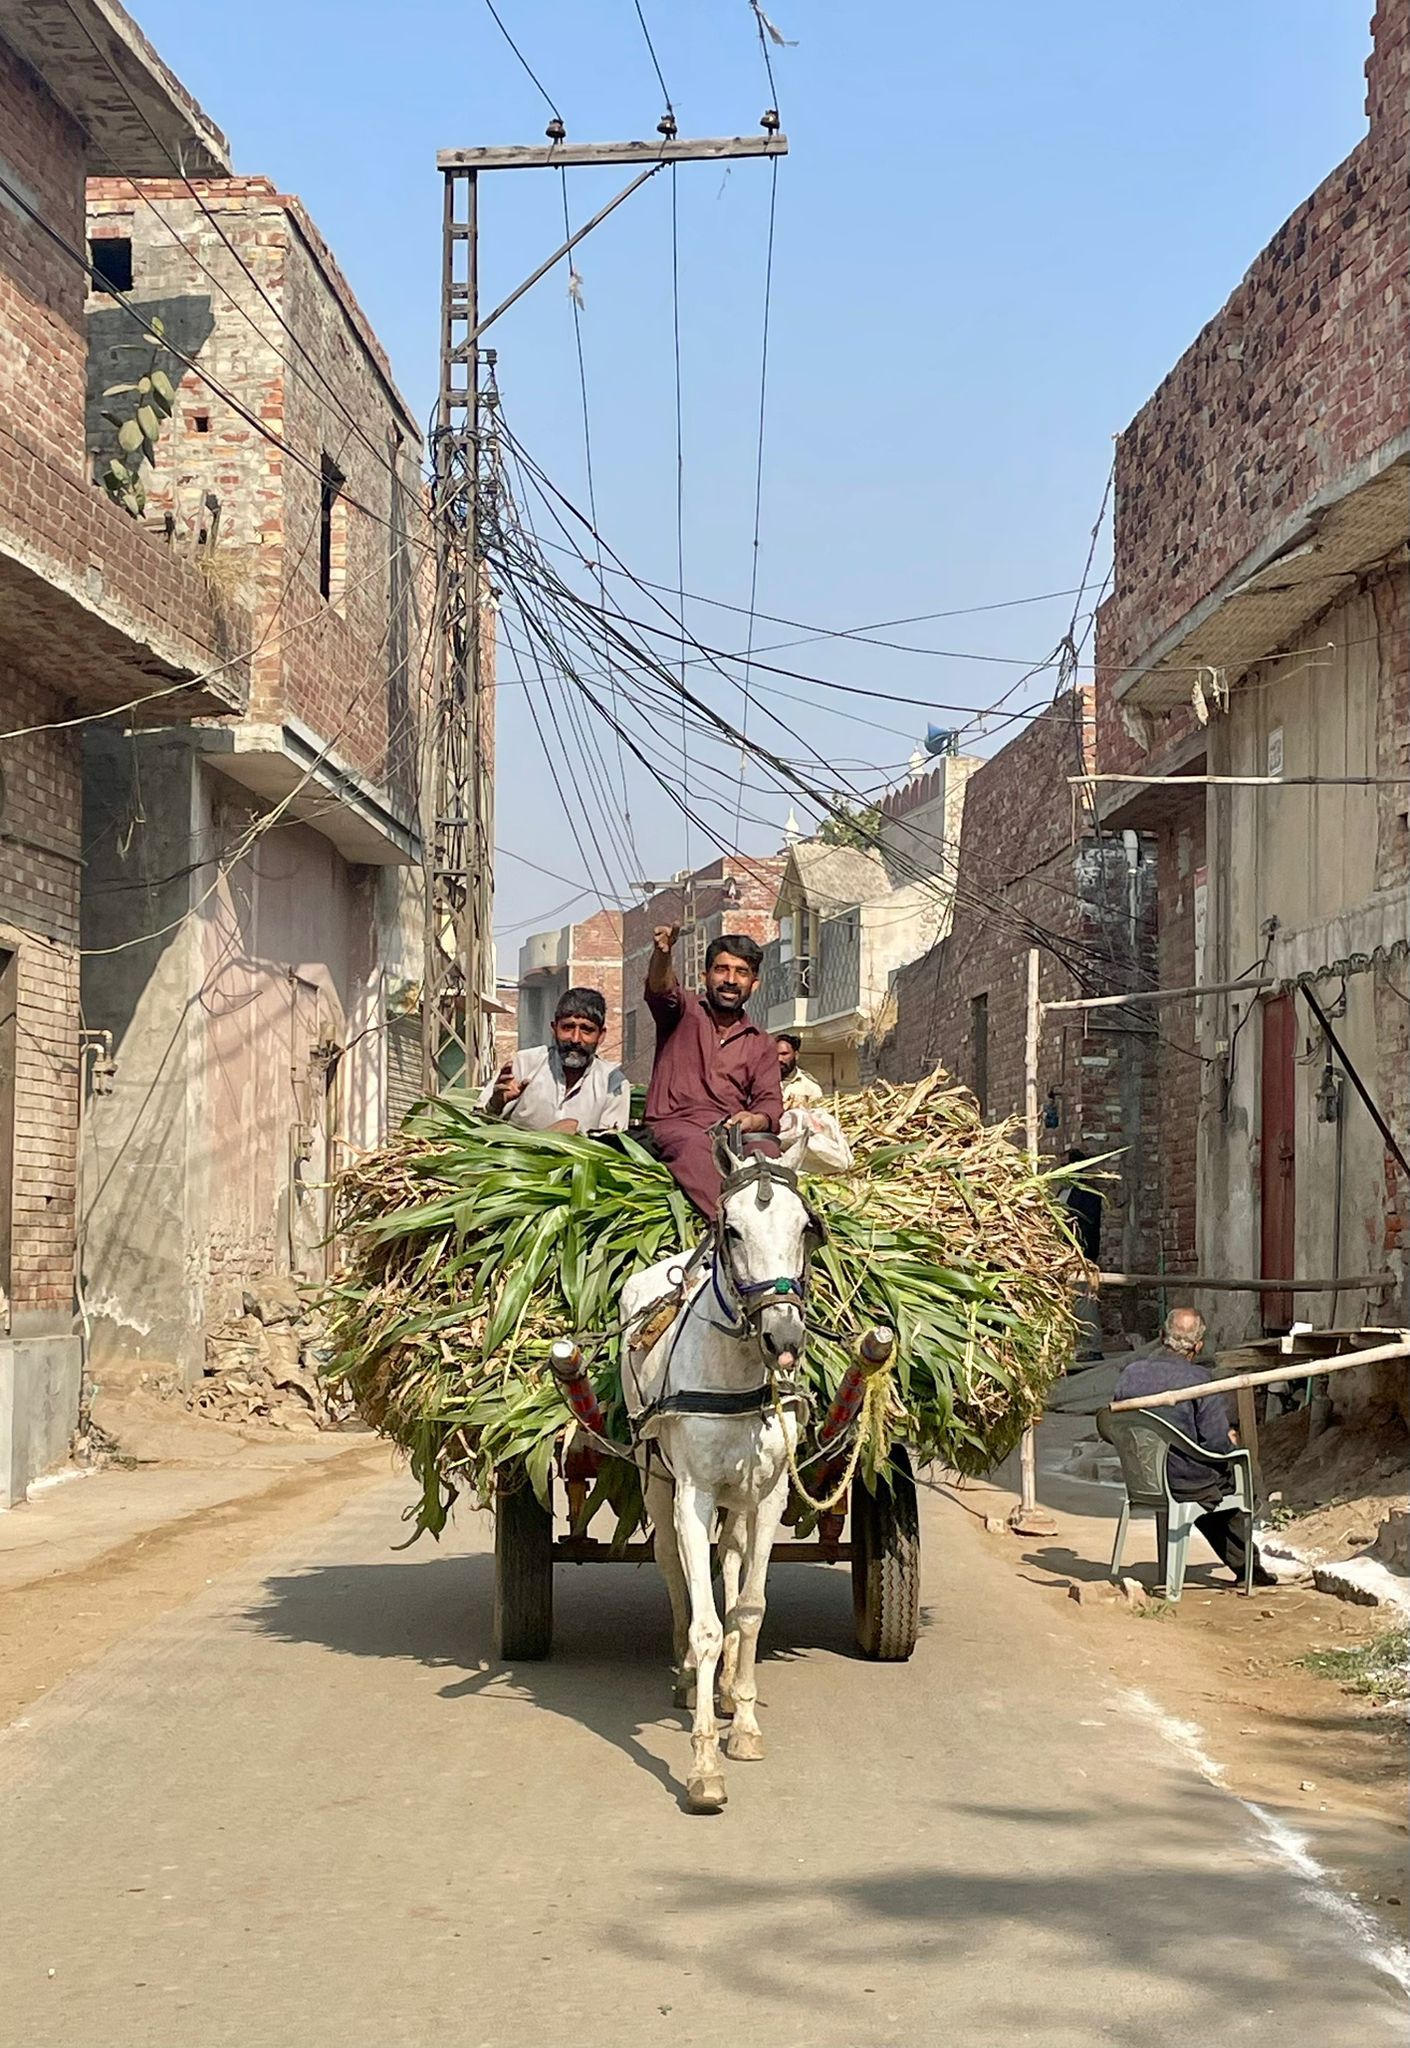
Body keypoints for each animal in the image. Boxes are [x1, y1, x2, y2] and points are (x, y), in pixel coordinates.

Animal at [620, 1129, 824, 1813]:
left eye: (806, 1227)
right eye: (731, 1229)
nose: (784, 1339)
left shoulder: (770, 1494)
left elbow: (750, 1607)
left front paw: (746, 1721)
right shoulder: (693, 1493)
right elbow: (705, 1620)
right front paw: (704, 1765)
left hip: (740, 1498)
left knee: (730, 1562)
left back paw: (734, 1690)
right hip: (655, 1482)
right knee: (675, 1573)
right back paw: (689, 1677)